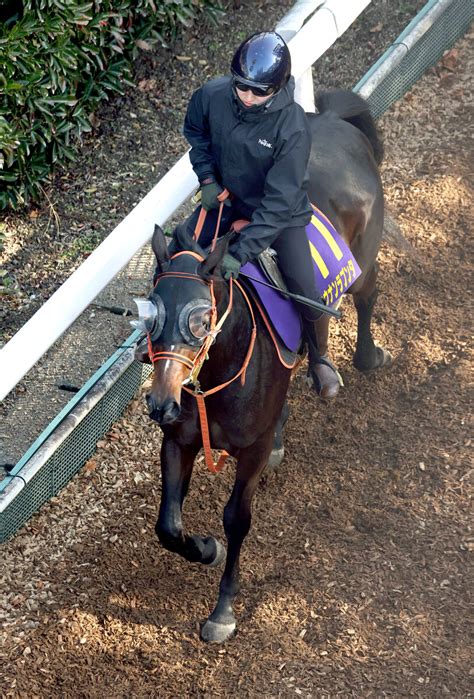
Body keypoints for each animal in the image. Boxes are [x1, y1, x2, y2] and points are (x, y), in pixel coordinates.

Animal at [135, 90, 390, 644]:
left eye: (202, 317)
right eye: (151, 310)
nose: (160, 402)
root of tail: (335, 121)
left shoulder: (245, 453)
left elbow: (237, 518)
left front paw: (223, 610)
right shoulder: (180, 438)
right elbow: (168, 525)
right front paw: (204, 549)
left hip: (364, 259)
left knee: (363, 301)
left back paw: (360, 358)